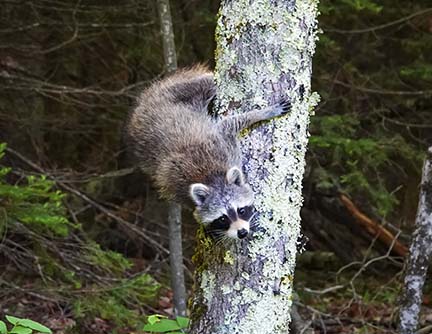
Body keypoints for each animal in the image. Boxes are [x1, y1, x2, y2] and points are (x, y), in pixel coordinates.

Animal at [124, 66, 290, 240]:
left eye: (241, 210)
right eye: (223, 218)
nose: (242, 233)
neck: (212, 179)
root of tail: (145, 101)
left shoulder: (223, 145)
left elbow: (231, 123)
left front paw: (261, 113)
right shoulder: (176, 186)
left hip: (177, 93)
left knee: (206, 83)